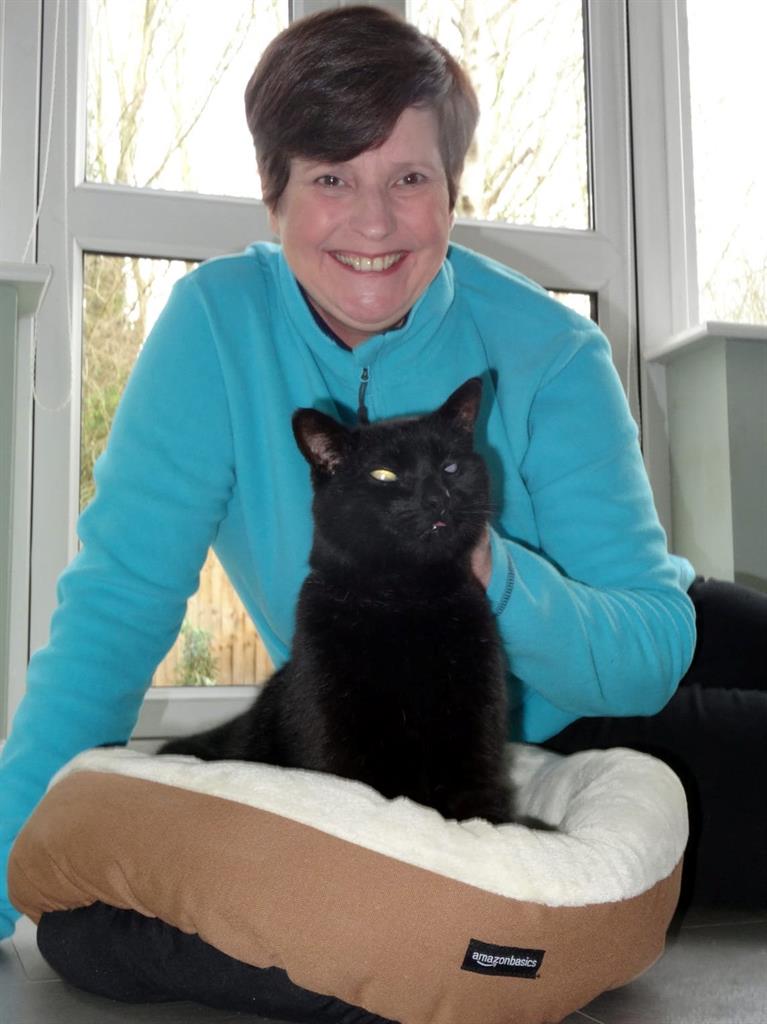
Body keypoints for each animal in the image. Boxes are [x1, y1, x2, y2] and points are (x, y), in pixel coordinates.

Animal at [160, 377, 512, 824]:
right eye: (384, 475)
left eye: (451, 467)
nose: (438, 497)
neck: (405, 600)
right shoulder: (334, 739)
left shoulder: (474, 740)